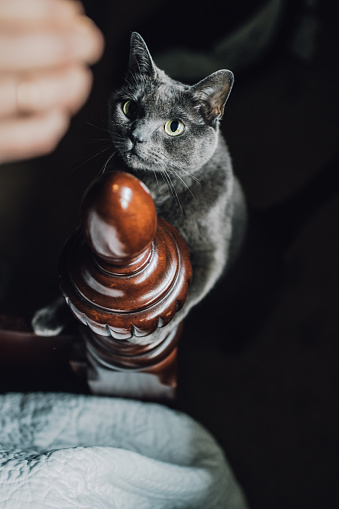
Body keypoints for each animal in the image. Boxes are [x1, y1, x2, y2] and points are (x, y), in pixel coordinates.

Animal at [32, 31, 247, 342]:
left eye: (174, 126)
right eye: (130, 108)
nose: (137, 136)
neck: (155, 187)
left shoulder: (212, 251)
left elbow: (189, 290)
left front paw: (153, 334)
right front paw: (50, 315)